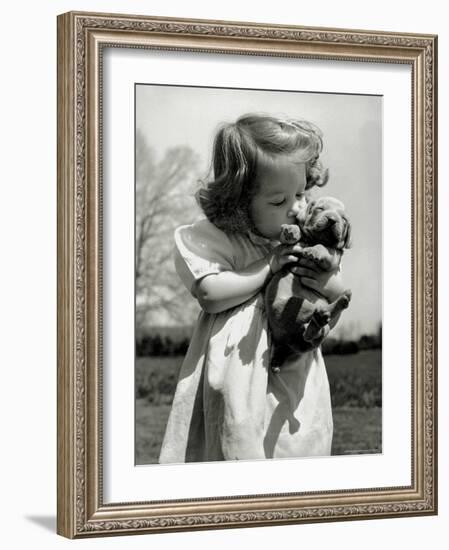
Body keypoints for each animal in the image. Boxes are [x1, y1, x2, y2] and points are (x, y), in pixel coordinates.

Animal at [264, 196, 352, 374]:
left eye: (343, 219)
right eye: (320, 209)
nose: (332, 220)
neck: (314, 239)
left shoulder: (334, 257)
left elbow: (325, 248)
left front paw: (315, 251)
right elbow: (295, 231)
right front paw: (290, 230)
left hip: (301, 309)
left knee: (316, 330)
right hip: (287, 309)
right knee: (311, 331)